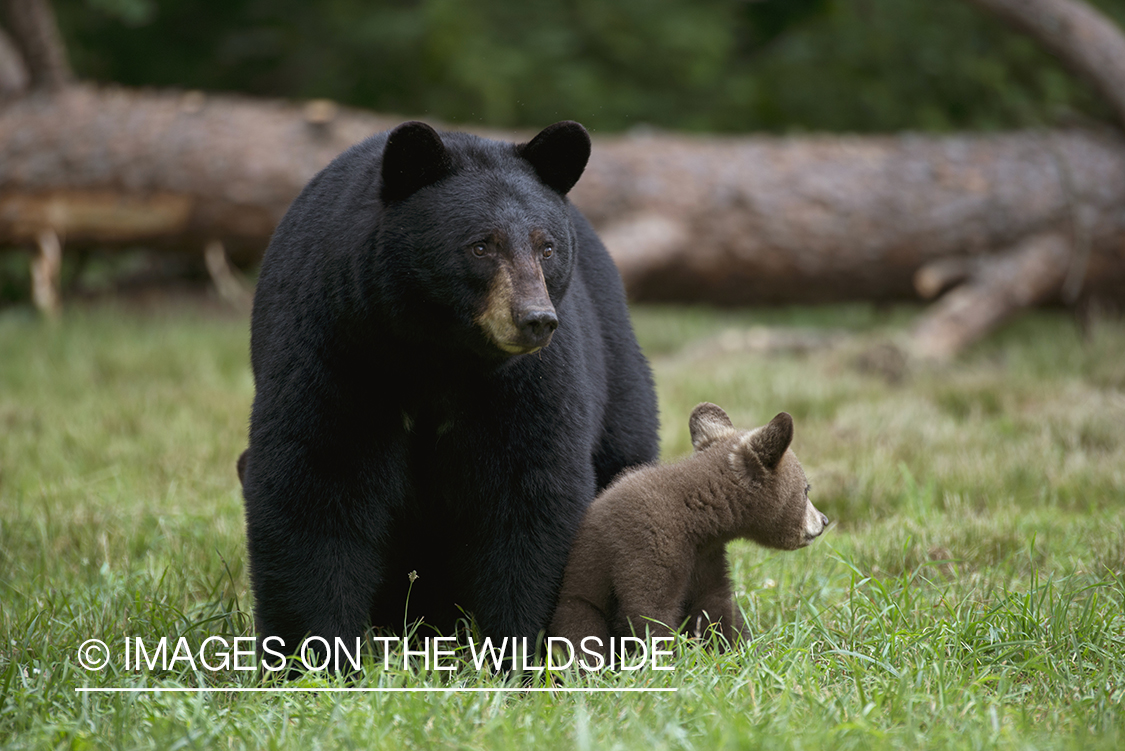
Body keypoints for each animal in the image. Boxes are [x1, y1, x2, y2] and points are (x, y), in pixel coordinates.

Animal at [238, 118, 657, 661]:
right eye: (481, 245)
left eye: (546, 247)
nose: (536, 320)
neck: (436, 355)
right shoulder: (335, 347)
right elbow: (316, 480)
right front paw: (313, 657)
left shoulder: (525, 382)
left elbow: (530, 491)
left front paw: (525, 652)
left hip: (616, 365)